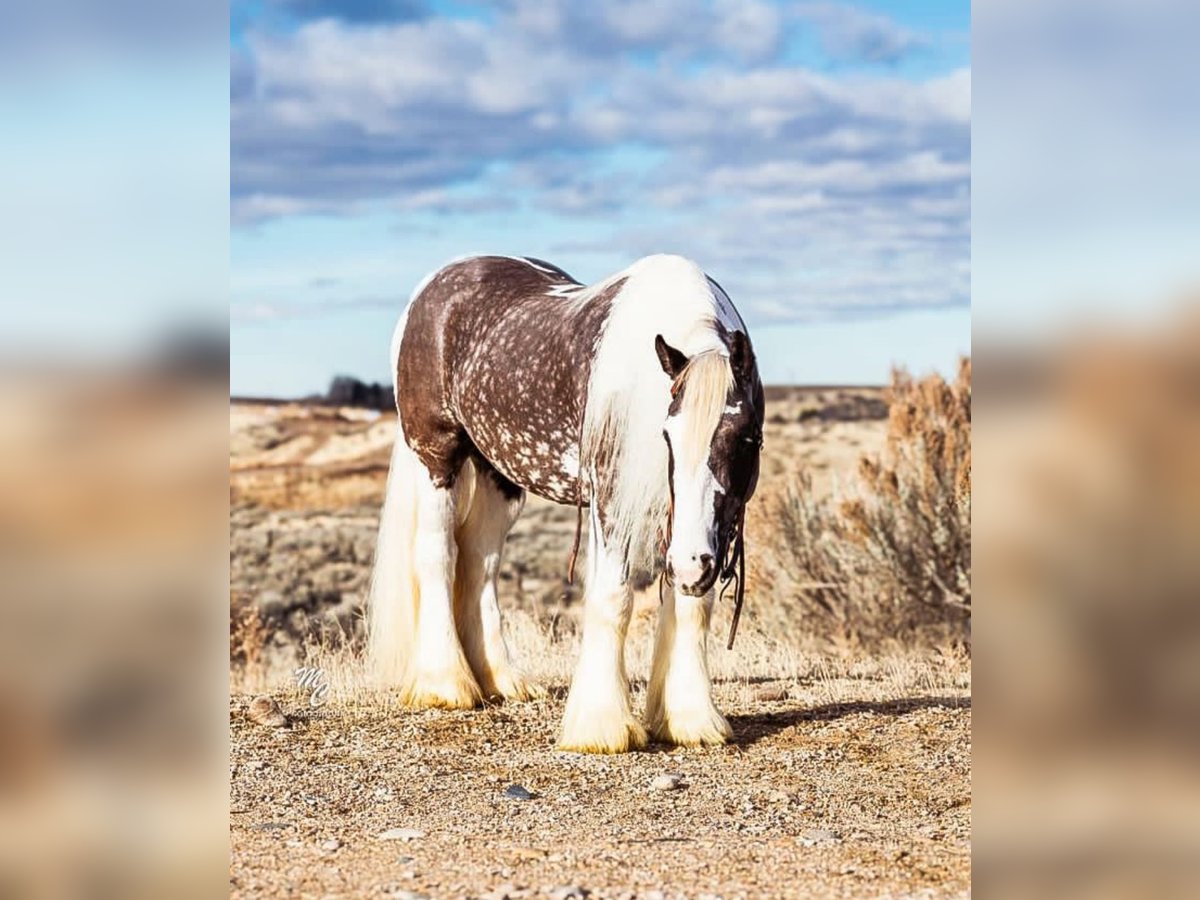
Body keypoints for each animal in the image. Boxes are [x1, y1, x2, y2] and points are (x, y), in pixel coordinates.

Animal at [364, 254, 763, 753]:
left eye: (744, 438)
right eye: (668, 436)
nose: (692, 564)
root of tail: (433, 286)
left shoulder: (704, 526)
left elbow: (693, 604)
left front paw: (690, 720)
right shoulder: (610, 498)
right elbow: (613, 599)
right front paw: (602, 727)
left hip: (499, 475)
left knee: (480, 565)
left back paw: (502, 680)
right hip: (437, 457)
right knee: (438, 555)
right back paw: (446, 685)